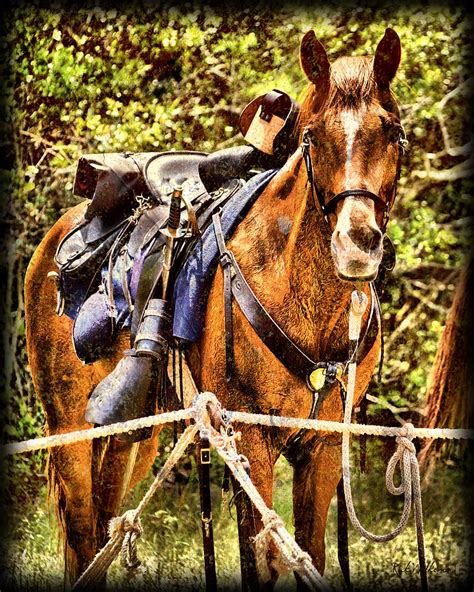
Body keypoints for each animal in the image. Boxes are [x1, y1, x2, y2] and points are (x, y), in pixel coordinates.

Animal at [25, 26, 404, 588]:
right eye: (313, 136)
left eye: (393, 133)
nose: (356, 245)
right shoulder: (250, 440)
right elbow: (264, 558)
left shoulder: (321, 449)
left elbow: (309, 552)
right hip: (69, 431)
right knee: (81, 533)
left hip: (132, 437)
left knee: (104, 531)